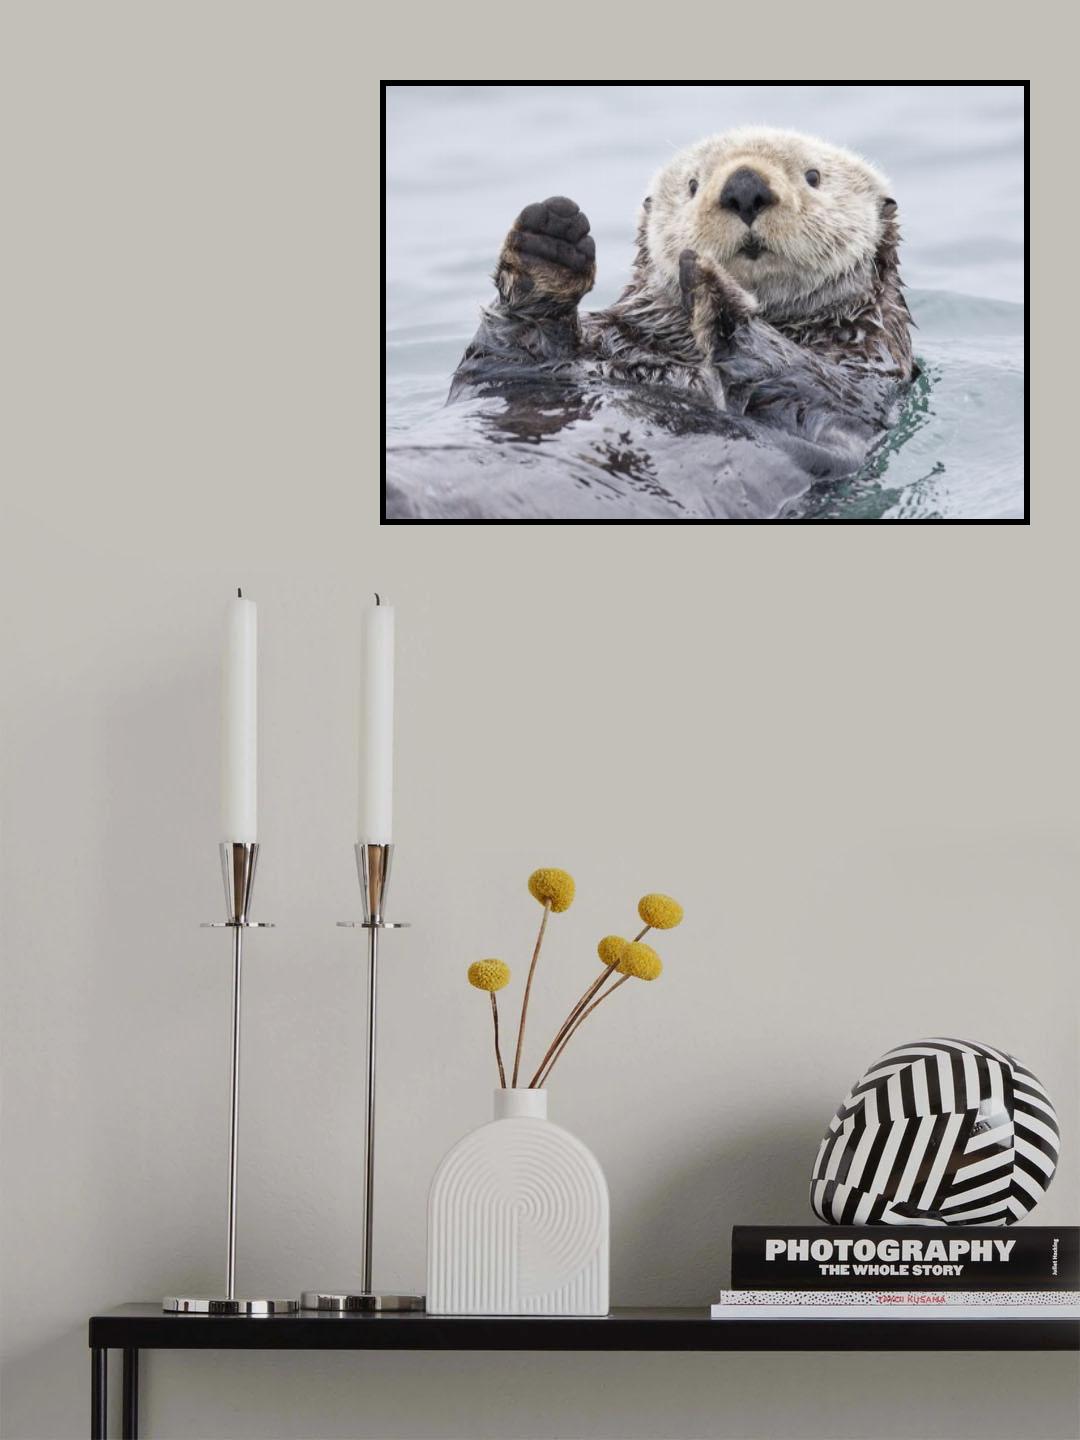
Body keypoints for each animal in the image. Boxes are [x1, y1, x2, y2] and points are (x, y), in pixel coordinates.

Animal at [387, 128, 916, 520]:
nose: (745, 186)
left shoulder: (860, 378)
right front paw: (549, 238)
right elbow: (512, 346)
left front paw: (712, 288)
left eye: (813, 176)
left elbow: (802, 377)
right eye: (693, 185)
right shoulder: (560, 352)